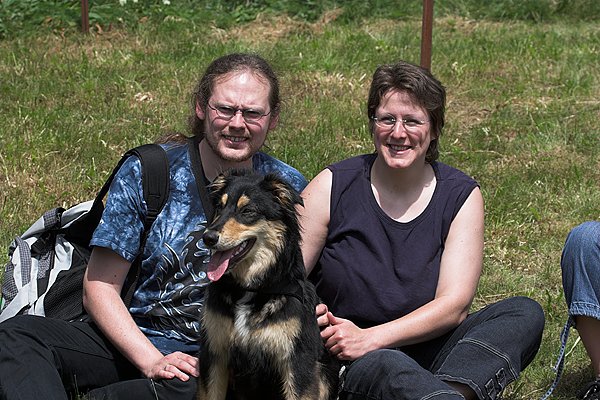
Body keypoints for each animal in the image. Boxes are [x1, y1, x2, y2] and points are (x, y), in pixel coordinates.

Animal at [196, 170, 338, 400]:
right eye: (219, 207)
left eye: (248, 211)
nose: (208, 237)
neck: (250, 288)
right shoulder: (214, 354)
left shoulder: (297, 363)